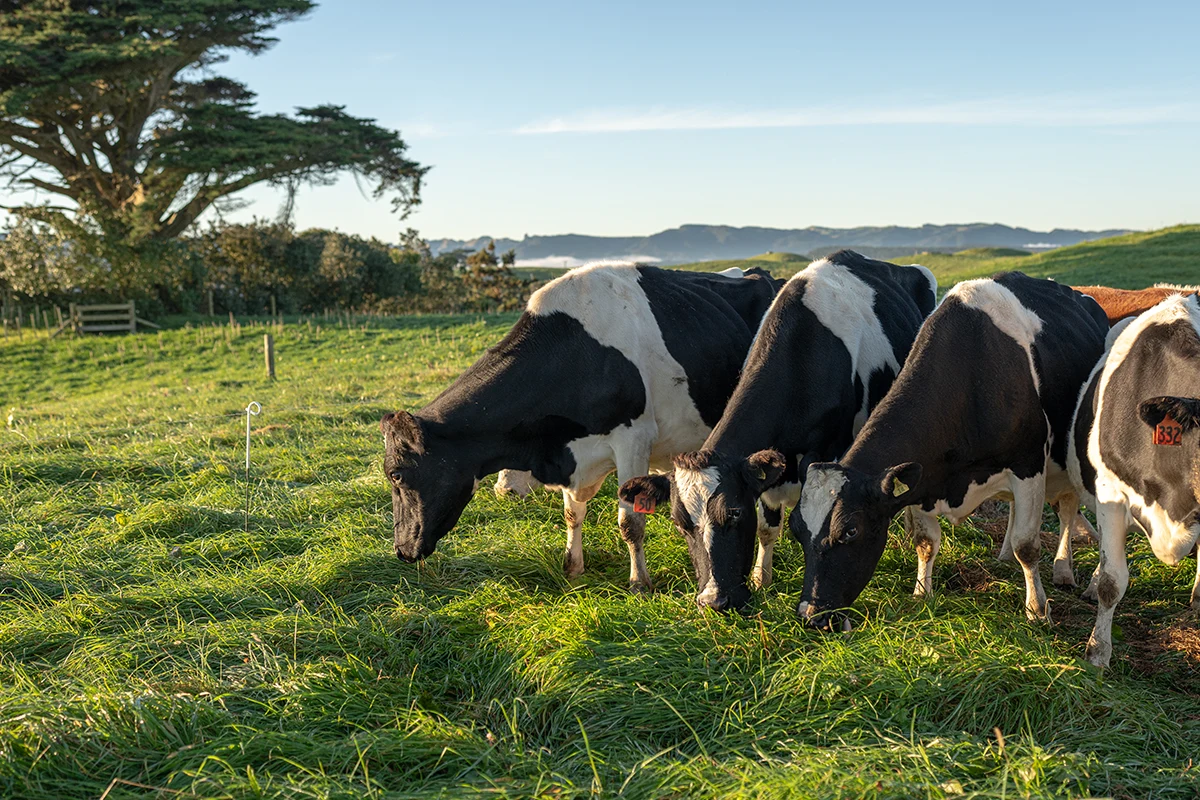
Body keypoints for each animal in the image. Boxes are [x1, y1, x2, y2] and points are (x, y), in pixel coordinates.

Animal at [381, 262, 778, 591]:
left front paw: (639, 582)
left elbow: (629, 523)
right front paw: (573, 567)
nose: (402, 550)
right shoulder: (573, 453)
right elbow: (573, 514)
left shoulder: (633, 439)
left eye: (396, 475)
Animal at [618, 250, 937, 611]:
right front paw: (762, 577)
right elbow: (768, 526)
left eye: (734, 512)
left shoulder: (832, 452)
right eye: (679, 523)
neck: (804, 352)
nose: (713, 600)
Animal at [792, 272, 1109, 630]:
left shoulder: (1028, 464)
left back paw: (1067, 571)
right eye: (795, 529)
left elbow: (1027, 545)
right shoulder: (923, 477)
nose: (812, 616)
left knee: (1068, 511)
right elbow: (926, 542)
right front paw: (921, 593)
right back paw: (1005, 557)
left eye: (850, 530)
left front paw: (1037, 609)